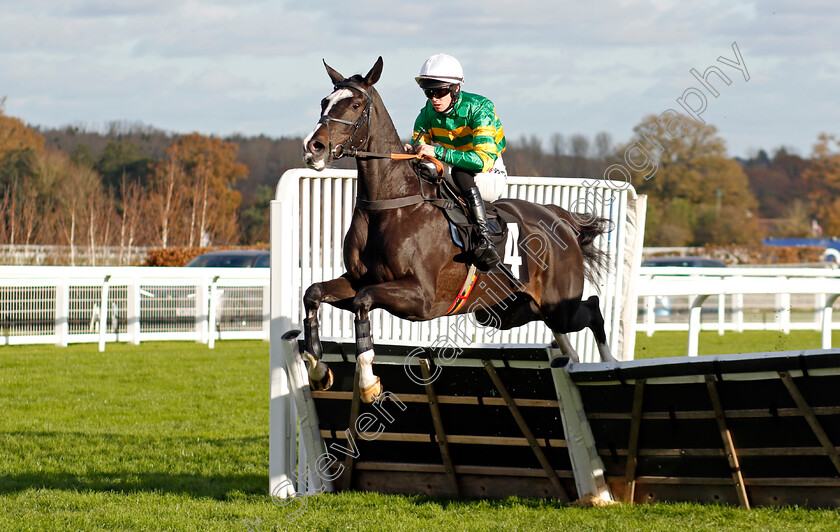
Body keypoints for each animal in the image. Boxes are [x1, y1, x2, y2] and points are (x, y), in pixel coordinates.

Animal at [302, 56, 616, 402]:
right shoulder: (358, 279)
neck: (392, 203)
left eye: (356, 104)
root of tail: (559, 221)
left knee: (592, 310)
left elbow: (363, 301)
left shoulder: (421, 297)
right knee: (560, 323)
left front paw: (369, 382)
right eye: (324, 102)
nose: (313, 147)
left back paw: (609, 363)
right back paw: (570, 357)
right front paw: (317, 369)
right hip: (510, 310)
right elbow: (313, 293)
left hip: (557, 303)